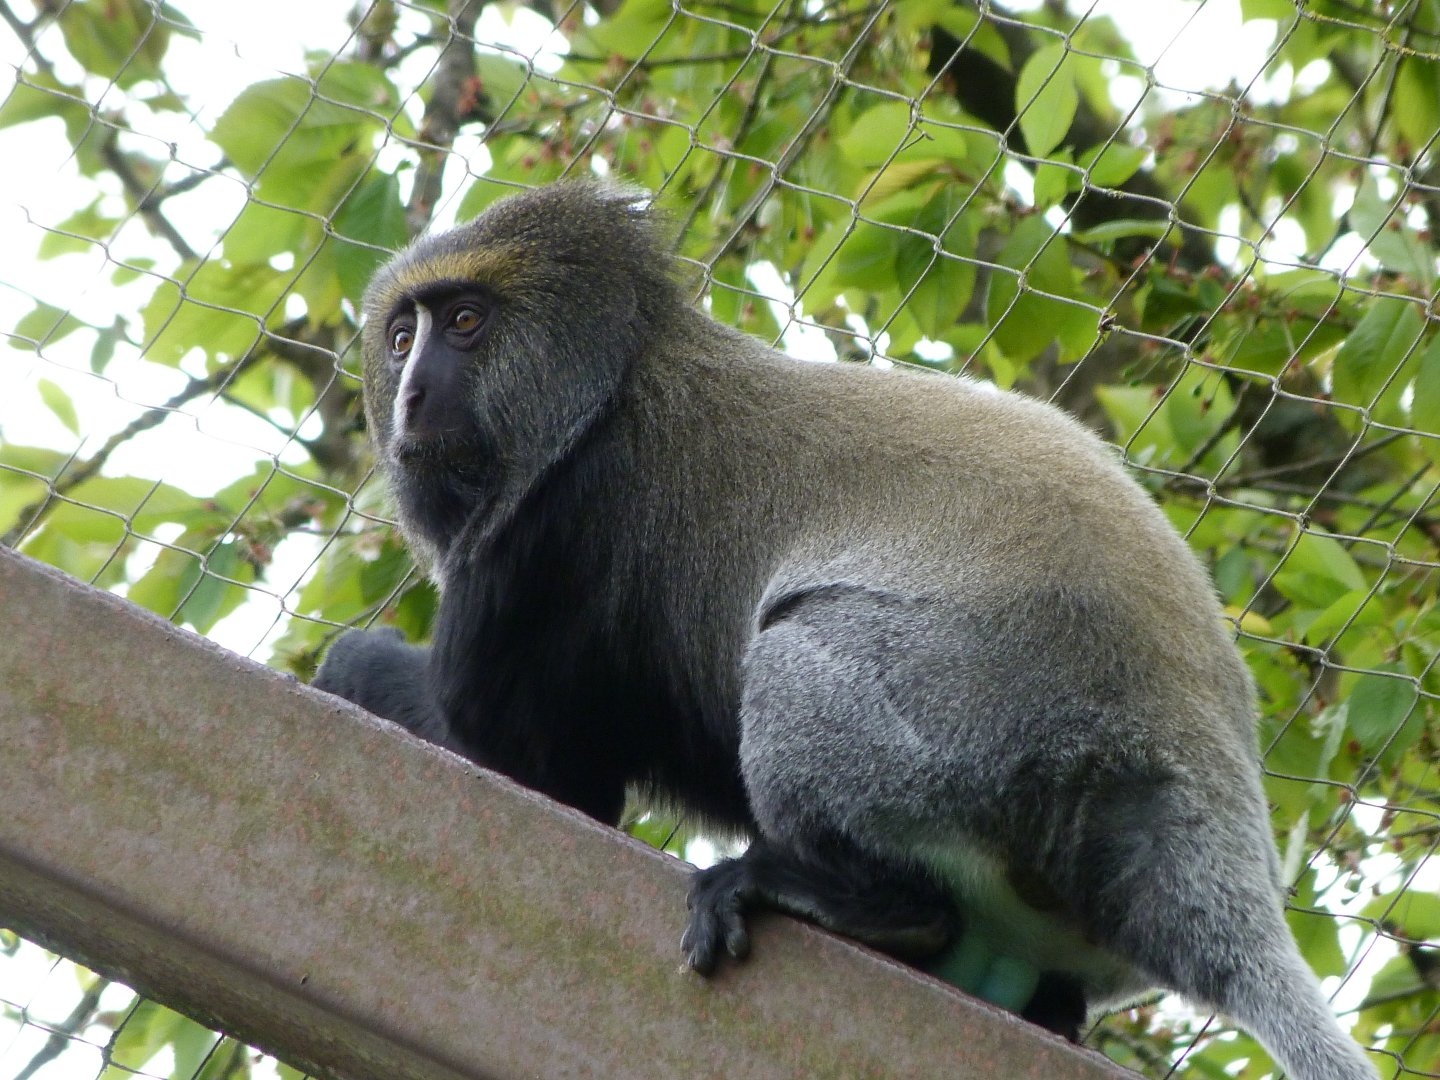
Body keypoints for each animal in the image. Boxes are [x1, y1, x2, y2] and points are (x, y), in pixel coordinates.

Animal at [313, 180, 1377, 1080]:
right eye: (401, 336)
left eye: (465, 322)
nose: (412, 394)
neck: (620, 375)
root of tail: (1190, 790)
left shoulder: (549, 531)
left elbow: (535, 772)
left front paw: (353, 661)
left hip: (982, 738)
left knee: (799, 656)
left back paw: (874, 905)